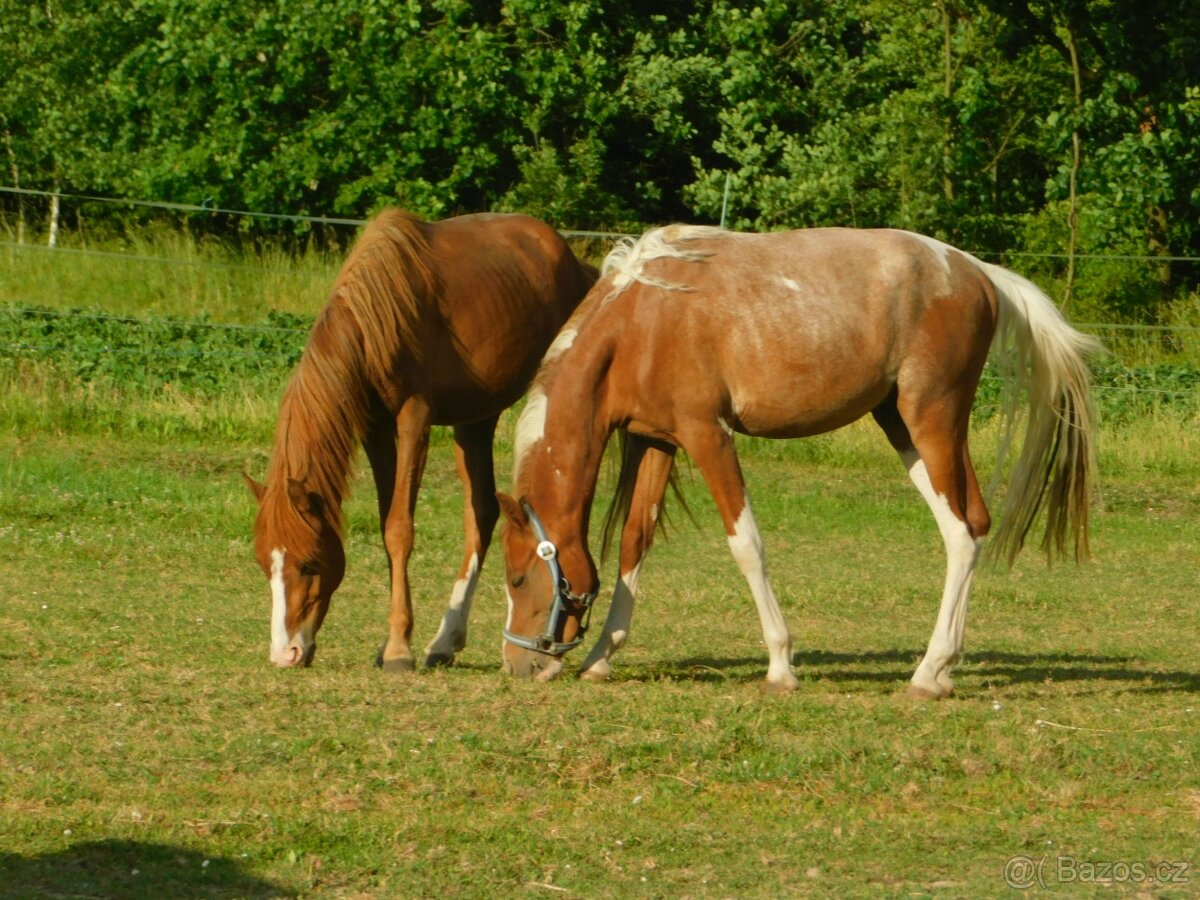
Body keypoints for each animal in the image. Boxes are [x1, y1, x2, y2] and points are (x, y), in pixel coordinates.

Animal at [245, 209, 597, 670]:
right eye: (263, 563)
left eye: (308, 562)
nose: (285, 653)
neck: (375, 315)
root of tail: (575, 262)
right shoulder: (375, 426)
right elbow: (386, 523)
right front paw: (395, 642)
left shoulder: (414, 416)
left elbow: (399, 528)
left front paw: (397, 648)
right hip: (475, 418)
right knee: (481, 513)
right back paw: (445, 640)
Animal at [496, 224, 1098, 698]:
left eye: (519, 579)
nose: (518, 665)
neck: (641, 320)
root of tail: (975, 271)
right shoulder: (656, 441)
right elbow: (632, 541)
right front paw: (601, 657)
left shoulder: (708, 436)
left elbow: (746, 546)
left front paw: (781, 665)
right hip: (902, 427)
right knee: (969, 525)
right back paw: (944, 669)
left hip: (932, 419)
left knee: (963, 531)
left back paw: (929, 673)